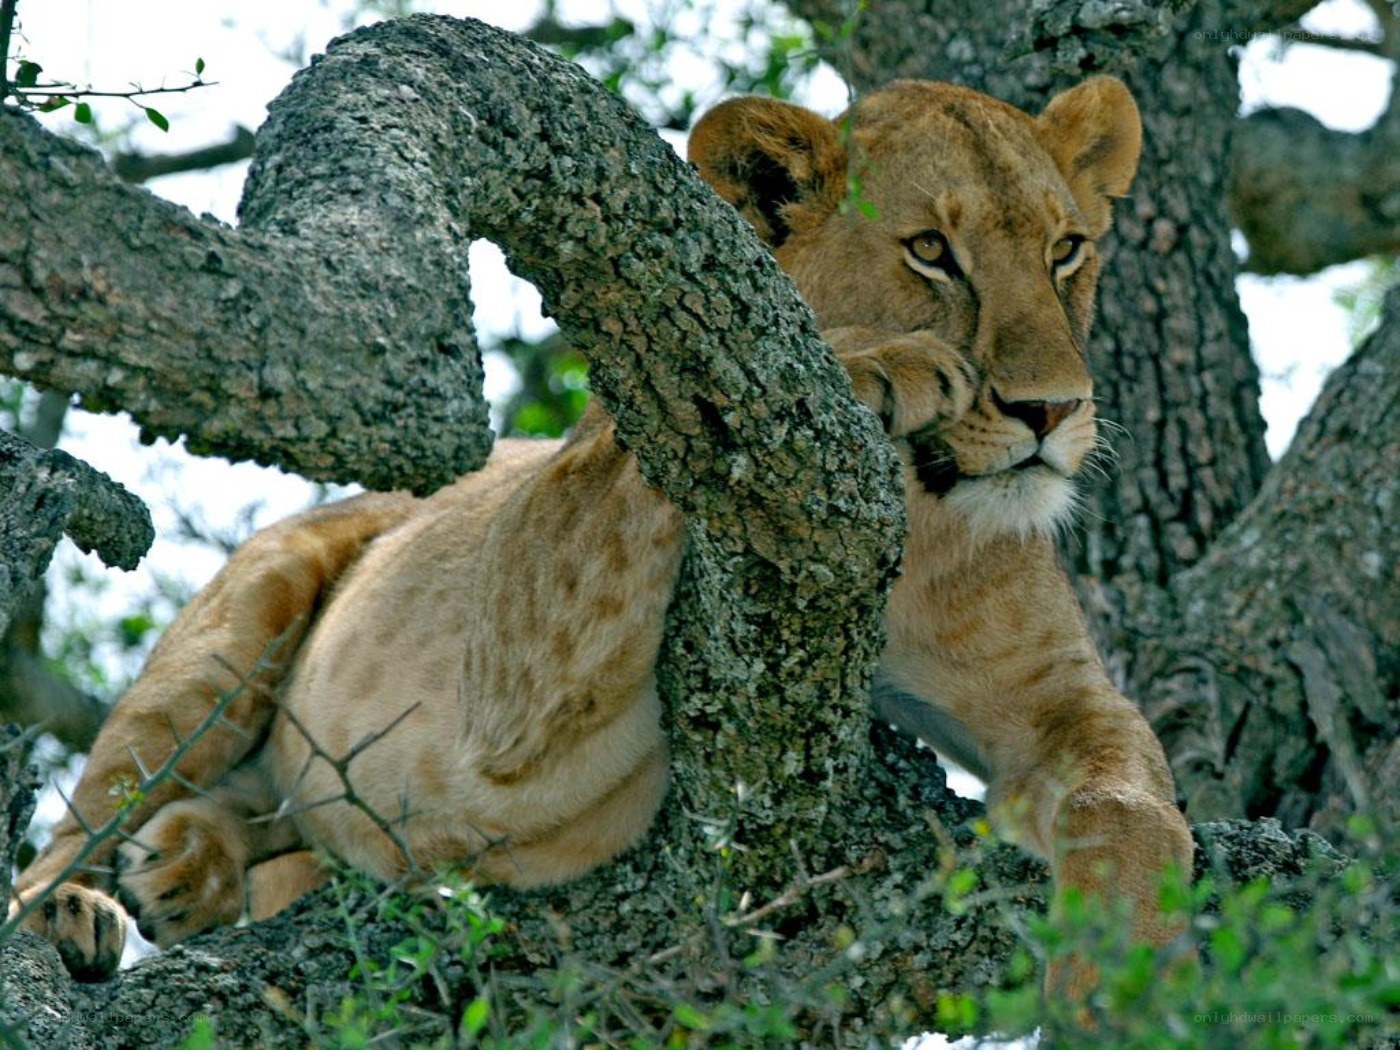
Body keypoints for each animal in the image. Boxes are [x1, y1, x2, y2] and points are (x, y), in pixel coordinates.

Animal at [9, 74, 1193, 987]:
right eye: (930, 251)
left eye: (1066, 250)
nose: (1052, 410)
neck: (915, 528)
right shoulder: (513, 671)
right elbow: (659, 433)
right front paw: (879, 362)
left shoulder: (1056, 701)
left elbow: (1133, 803)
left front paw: (1131, 987)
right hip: (236, 623)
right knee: (82, 820)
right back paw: (79, 910)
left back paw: (187, 861)